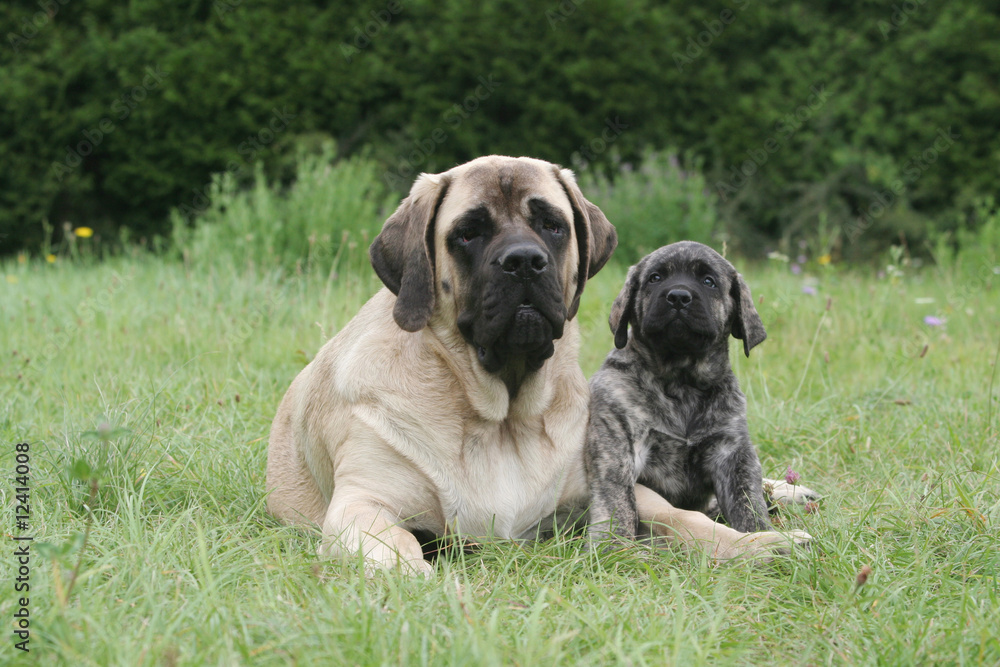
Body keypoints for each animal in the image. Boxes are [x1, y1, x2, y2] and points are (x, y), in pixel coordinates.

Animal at [584, 243, 812, 556]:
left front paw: (760, 522)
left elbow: (748, 501)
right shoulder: (617, 440)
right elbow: (616, 497)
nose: (678, 296)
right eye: (655, 278)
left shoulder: (732, 451)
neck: (682, 381)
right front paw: (614, 544)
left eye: (708, 281)